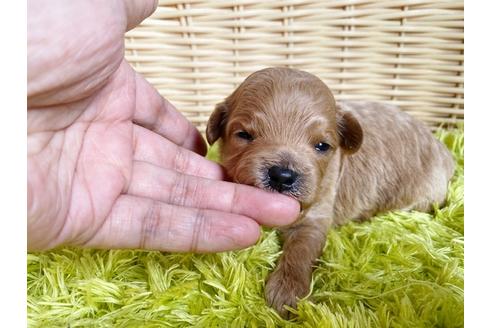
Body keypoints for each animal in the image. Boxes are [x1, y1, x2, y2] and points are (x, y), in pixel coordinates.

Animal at [204, 66, 454, 318]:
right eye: (244, 135)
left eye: (322, 146)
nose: (282, 176)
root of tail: (445, 152)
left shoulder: (316, 214)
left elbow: (301, 250)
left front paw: (288, 292)